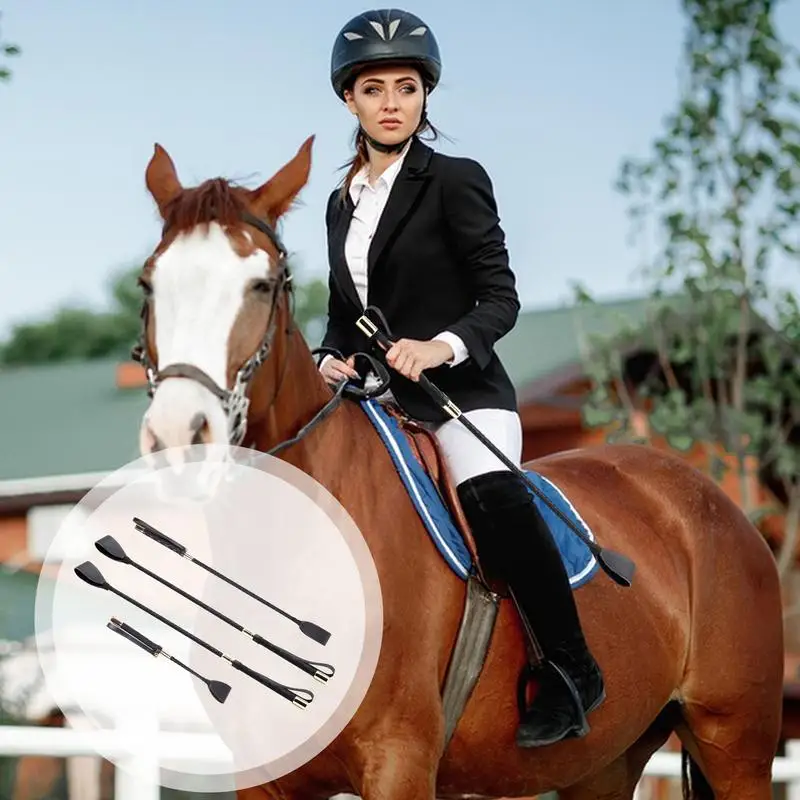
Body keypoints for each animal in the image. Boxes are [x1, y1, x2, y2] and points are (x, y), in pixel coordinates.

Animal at [134, 138, 784, 800]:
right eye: (148, 284)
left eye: (262, 285)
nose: (179, 435)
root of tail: (708, 498)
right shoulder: (265, 777)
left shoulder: (398, 759)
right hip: (606, 763)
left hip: (736, 746)